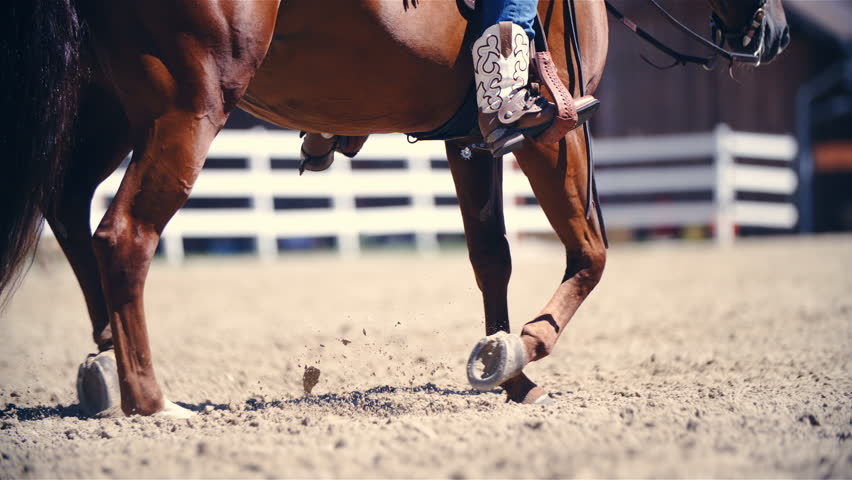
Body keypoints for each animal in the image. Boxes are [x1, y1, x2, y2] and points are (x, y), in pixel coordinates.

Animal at [0, 0, 789, 417]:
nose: (777, 31)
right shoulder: (554, 133)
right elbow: (591, 253)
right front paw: (524, 348)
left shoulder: (471, 138)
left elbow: (491, 257)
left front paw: (506, 369)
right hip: (187, 104)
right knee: (123, 233)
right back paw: (152, 400)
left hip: (107, 107)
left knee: (69, 207)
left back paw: (104, 366)